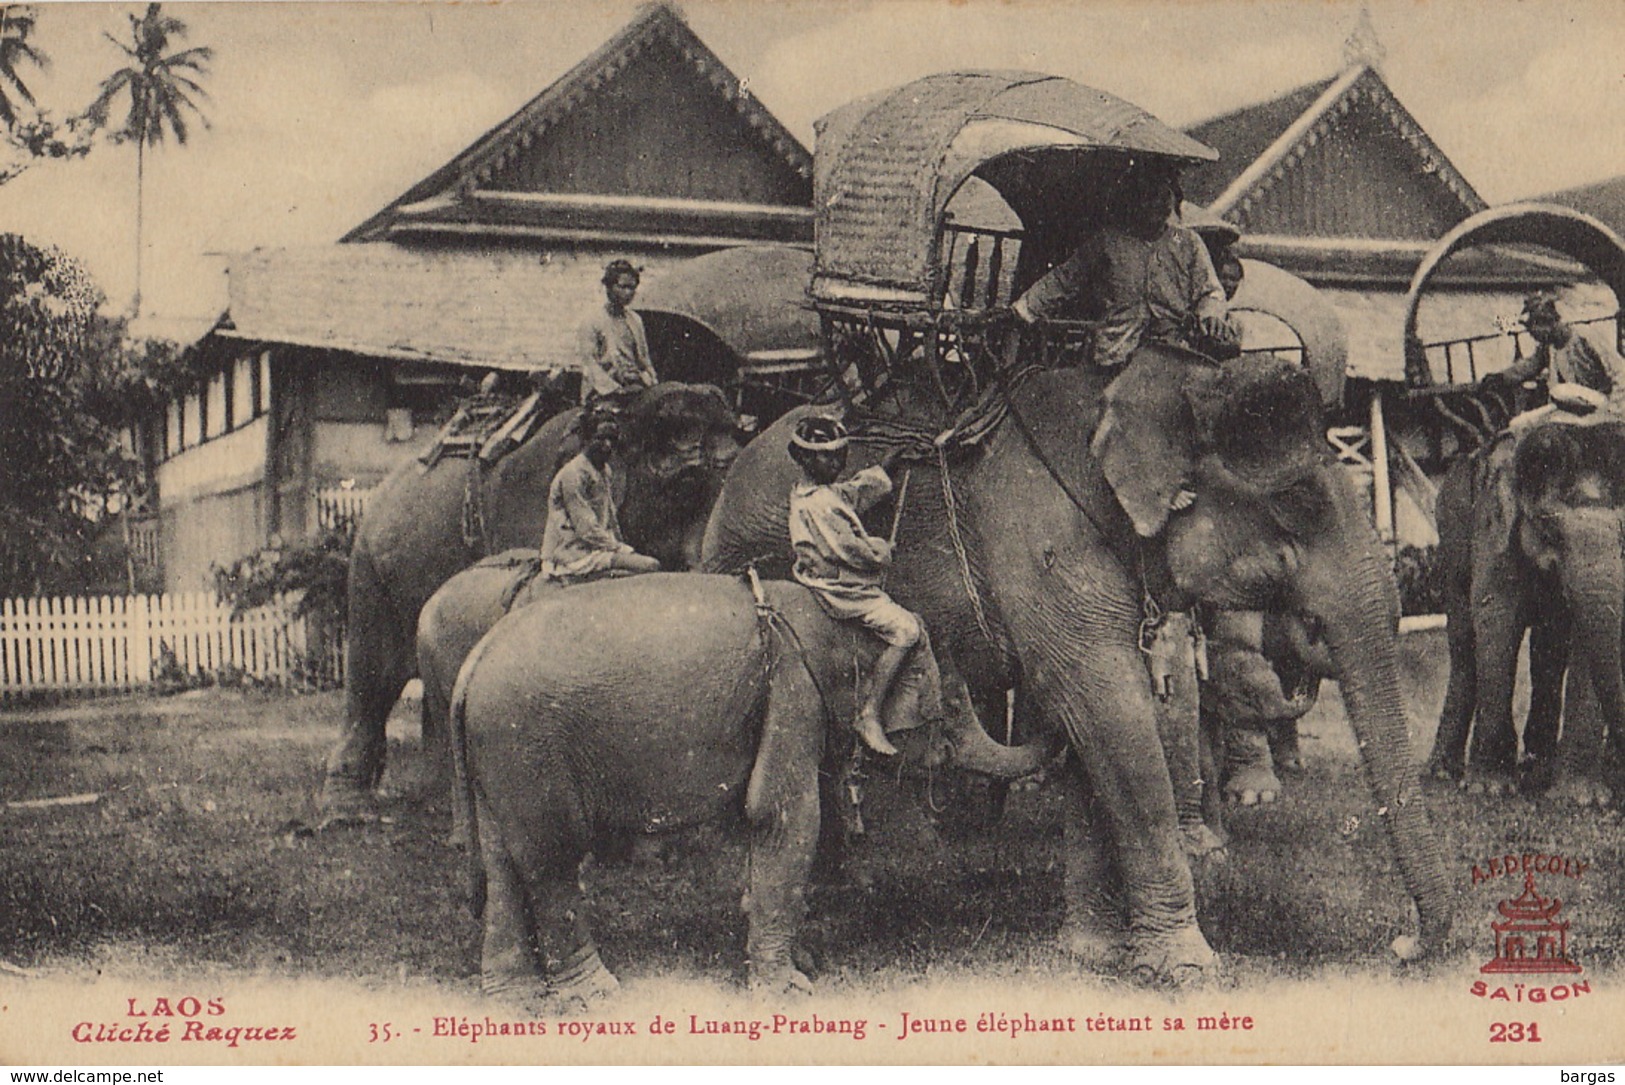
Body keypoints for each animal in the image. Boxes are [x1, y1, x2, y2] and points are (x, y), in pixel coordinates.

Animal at [448, 571, 1053, 1007]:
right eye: (950, 708)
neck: (835, 623)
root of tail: (470, 665)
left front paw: (802, 962)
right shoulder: (792, 686)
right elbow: (784, 814)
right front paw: (789, 989)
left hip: (498, 756)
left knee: (504, 860)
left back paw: (513, 999)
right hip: (526, 744)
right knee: (553, 856)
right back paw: (595, 995)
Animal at [705, 347, 1456, 974]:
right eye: (1293, 503)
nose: (1401, 945)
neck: (1167, 383)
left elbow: (1092, 728)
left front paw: (1096, 953)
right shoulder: (1045, 543)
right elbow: (1108, 711)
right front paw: (1190, 970)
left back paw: (842, 887)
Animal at [1430, 415, 1625, 805]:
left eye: (1624, 536)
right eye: (1550, 529)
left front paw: (1578, 798)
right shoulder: (1493, 524)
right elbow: (1496, 616)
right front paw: (1488, 788)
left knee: (1548, 650)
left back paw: (1537, 768)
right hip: (1450, 535)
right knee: (1464, 643)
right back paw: (1444, 773)